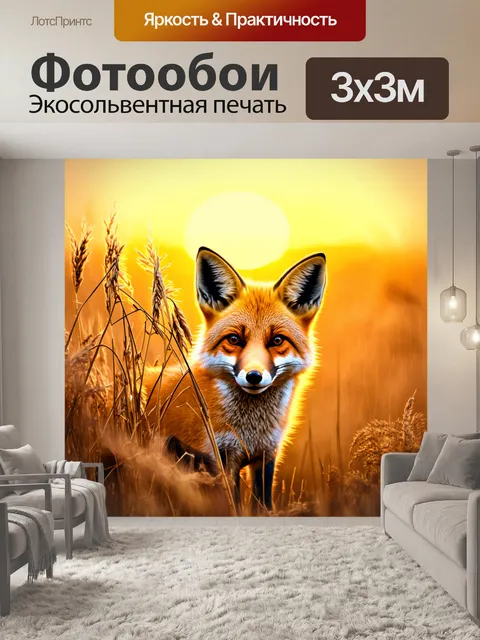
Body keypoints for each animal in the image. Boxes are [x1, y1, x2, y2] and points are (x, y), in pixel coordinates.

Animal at [145, 246, 327, 512]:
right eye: (234, 339)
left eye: (277, 340)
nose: (254, 376)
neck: (251, 431)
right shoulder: (220, 458)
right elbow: (233, 508)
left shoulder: (266, 456)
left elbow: (263, 507)